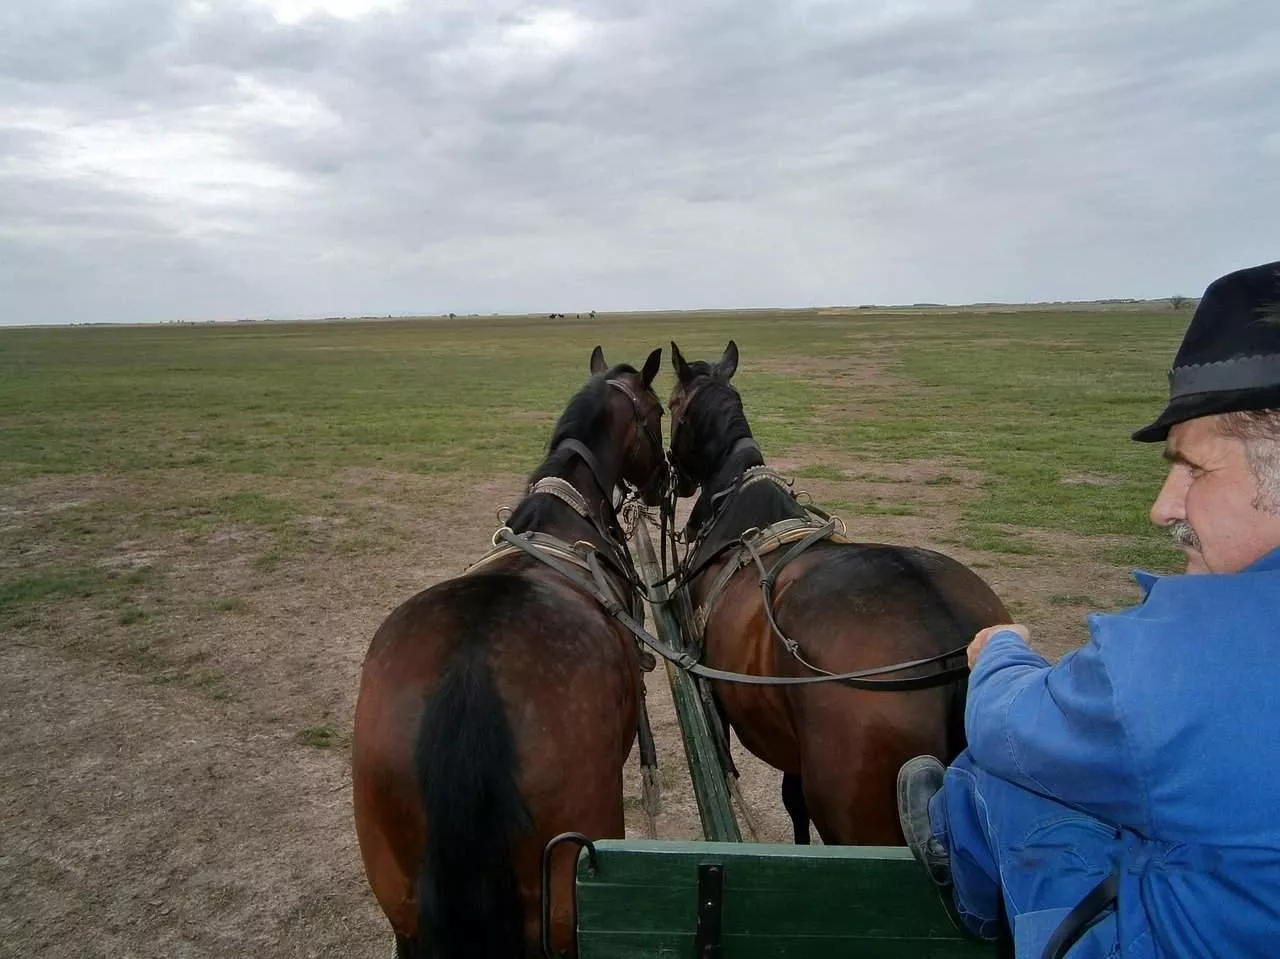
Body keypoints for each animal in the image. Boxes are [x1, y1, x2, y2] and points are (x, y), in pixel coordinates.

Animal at [353, 345, 665, 957]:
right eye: (659, 412)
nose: (669, 482)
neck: (562, 515)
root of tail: (469, 676)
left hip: (401, 905)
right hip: (570, 887)